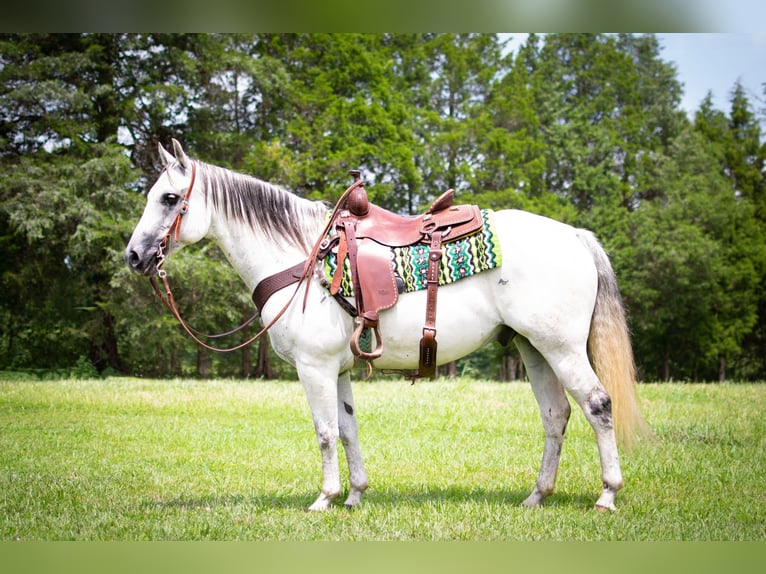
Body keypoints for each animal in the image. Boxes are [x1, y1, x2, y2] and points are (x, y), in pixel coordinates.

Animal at [123, 138, 652, 512]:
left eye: (169, 197)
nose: (134, 256)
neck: (301, 256)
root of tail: (575, 236)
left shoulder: (314, 368)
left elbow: (324, 432)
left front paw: (323, 499)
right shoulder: (337, 370)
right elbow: (347, 429)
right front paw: (355, 495)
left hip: (561, 348)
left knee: (598, 405)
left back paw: (607, 494)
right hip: (532, 348)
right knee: (556, 415)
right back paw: (537, 496)